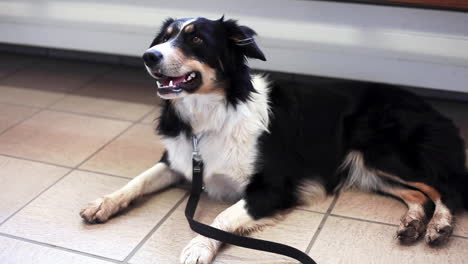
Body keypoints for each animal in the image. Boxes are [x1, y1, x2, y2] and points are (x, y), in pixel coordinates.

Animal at [78, 17, 466, 264]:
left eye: (197, 39)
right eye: (163, 38)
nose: (149, 56)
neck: (213, 113)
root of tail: (429, 106)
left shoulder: (273, 188)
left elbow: (220, 218)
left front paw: (198, 247)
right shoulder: (180, 159)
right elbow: (137, 181)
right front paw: (103, 203)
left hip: (382, 153)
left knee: (444, 188)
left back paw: (439, 225)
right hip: (367, 168)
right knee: (418, 194)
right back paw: (412, 223)